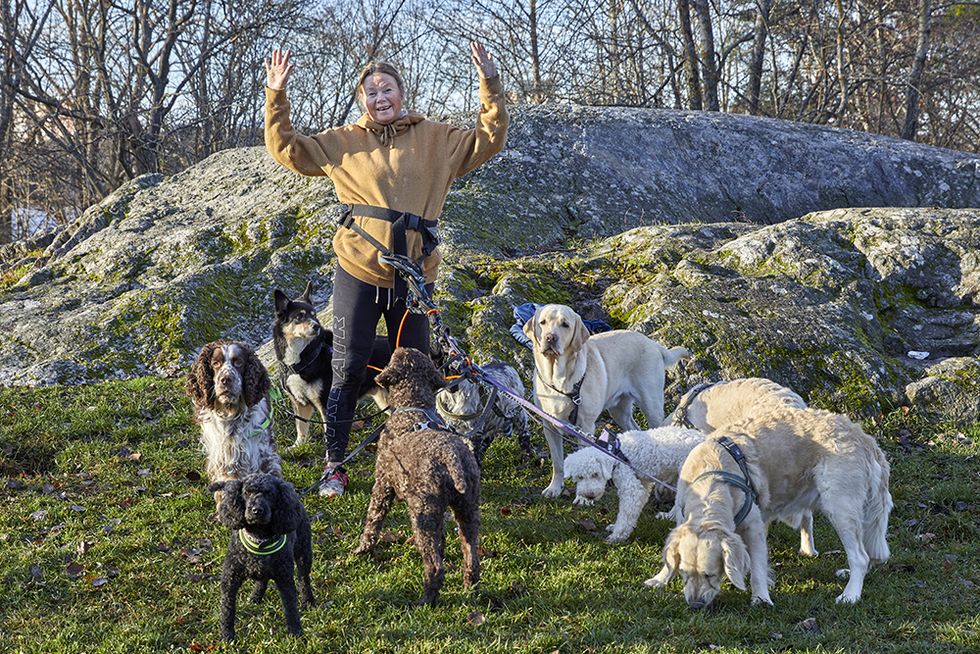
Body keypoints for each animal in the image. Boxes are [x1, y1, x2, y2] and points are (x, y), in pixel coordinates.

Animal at [187, 340, 284, 504]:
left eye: (239, 362)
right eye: (215, 363)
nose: (226, 380)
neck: (232, 415)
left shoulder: (261, 453)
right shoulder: (226, 458)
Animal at [276, 282, 390, 446]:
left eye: (314, 315)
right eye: (299, 316)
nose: (316, 326)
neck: (303, 359)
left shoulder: (325, 402)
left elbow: (327, 431)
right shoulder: (299, 403)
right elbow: (301, 427)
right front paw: (298, 445)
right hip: (383, 399)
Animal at [520, 304, 688, 500]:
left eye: (565, 325)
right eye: (543, 322)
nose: (550, 338)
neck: (559, 379)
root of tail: (654, 344)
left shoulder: (585, 427)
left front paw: (582, 497)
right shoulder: (549, 426)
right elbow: (557, 461)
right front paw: (554, 487)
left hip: (651, 405)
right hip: (619, 411)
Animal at [564, 426, 708, 544]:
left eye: (595, 474)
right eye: (579, 477)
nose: (589, 495)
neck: (614, 454)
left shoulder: (631, 489)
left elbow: (625, 515)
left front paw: (617, 536)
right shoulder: (642, 485)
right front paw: (615, 529)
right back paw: (669, 516)